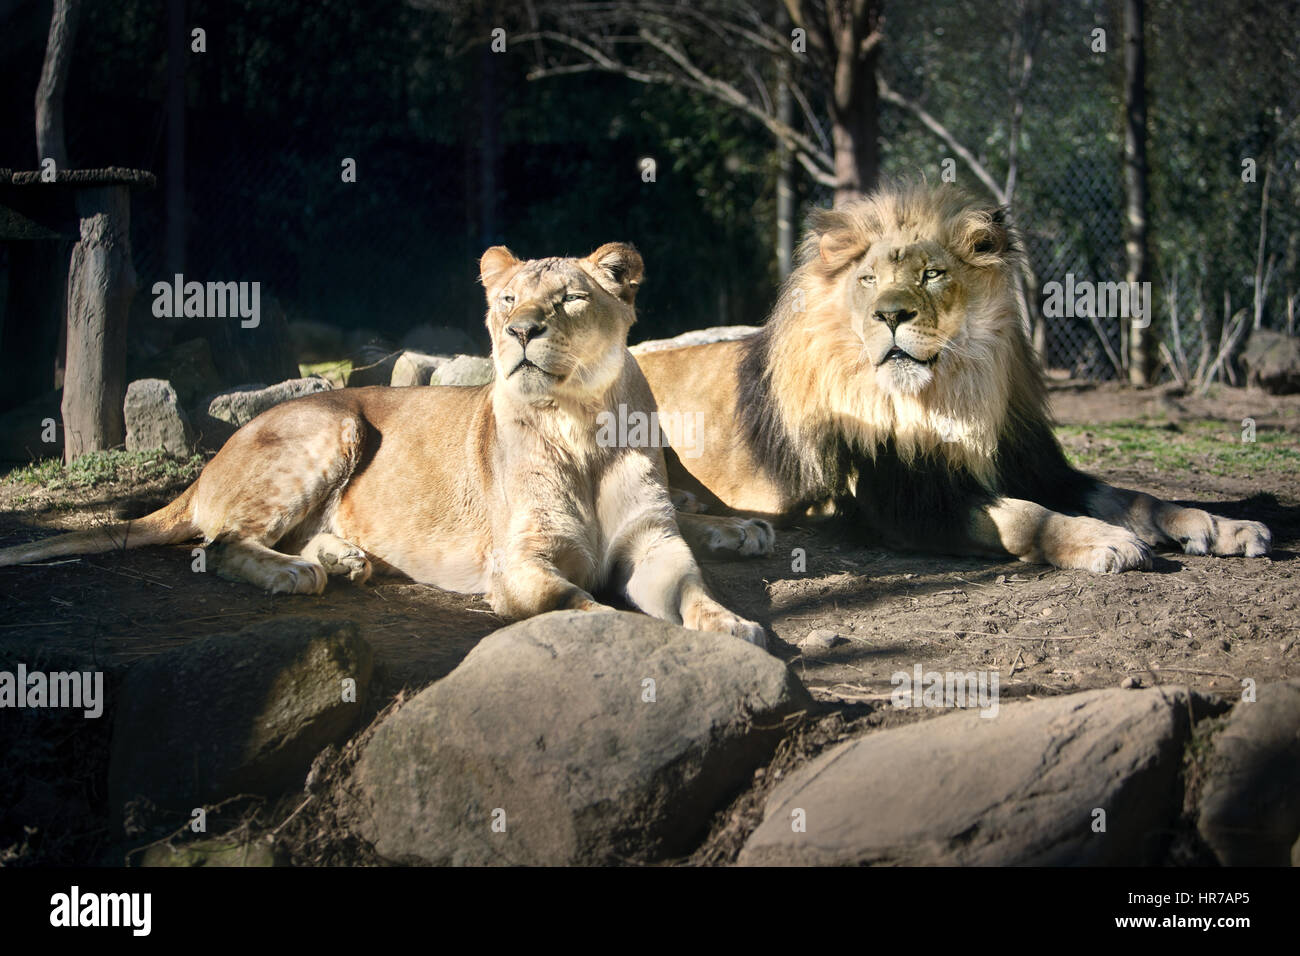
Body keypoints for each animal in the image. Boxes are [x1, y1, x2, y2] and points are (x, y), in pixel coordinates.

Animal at [0, 240, 764, 642]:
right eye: (508, 301)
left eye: (571, 298)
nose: (521, 331)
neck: (577, 421)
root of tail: (210, 462)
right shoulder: (520, 567)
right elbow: (587, 609)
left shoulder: (653, 544)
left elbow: (694, 591)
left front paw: (733, 626)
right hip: (333, 423)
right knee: (218, 544)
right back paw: (298, 573)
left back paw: (344, 559)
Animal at [637, 187, 1268, 574]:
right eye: (868, 280)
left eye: (932, 274)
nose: (891, 314)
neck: (955, 392)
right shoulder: (904, 503)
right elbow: (1025, 516)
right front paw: (1102, 540)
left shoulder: (1035, 465)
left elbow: (1138, 497)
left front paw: (1224, 526)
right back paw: (735, 532)